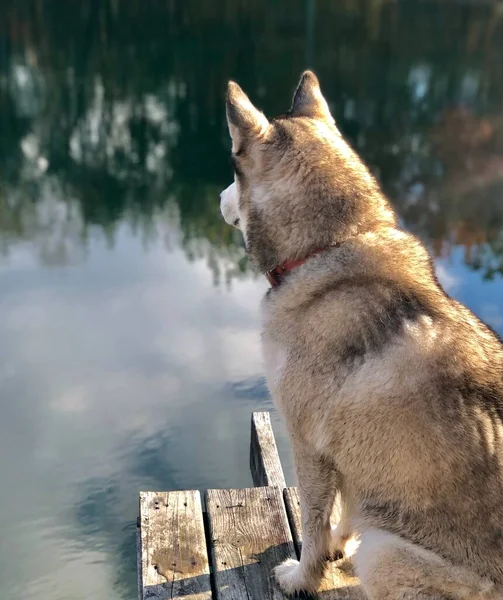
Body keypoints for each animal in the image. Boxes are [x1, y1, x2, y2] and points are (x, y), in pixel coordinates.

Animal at [220, 71, 503, 600]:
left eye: (232, 169)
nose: (219, 198)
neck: (330, 246)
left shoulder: (309, 445)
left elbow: (312, 525)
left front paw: (303, 575)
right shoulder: (355, 456)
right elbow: (348, 512)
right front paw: (336, 544)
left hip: (386, 553)